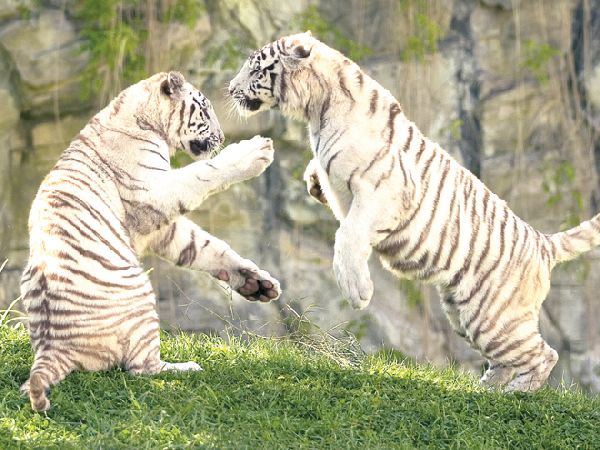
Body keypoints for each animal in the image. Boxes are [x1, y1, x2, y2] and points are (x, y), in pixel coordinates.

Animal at [19, 71, 281, 411]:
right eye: (205, 110)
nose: (222, 136)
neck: (142, 118)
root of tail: (52, 347)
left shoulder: (159, 228)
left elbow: (204, 246)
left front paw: (256, 283)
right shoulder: (151, 193)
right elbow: (202, 173)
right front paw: (255, 151)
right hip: (140, 297)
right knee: (141, 368)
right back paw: (186, 367)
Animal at [228, 32, 600, 392]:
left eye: (255, 68)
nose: (230, 89)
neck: (317, 110)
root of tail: (541, 242)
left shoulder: (384, 190)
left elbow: (348, 235)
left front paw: (357, 292)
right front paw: (313, 183)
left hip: (495, 313)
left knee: (543, 354)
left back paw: (514, 395)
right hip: (466, 313)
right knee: (506, 359)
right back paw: (486, 390)